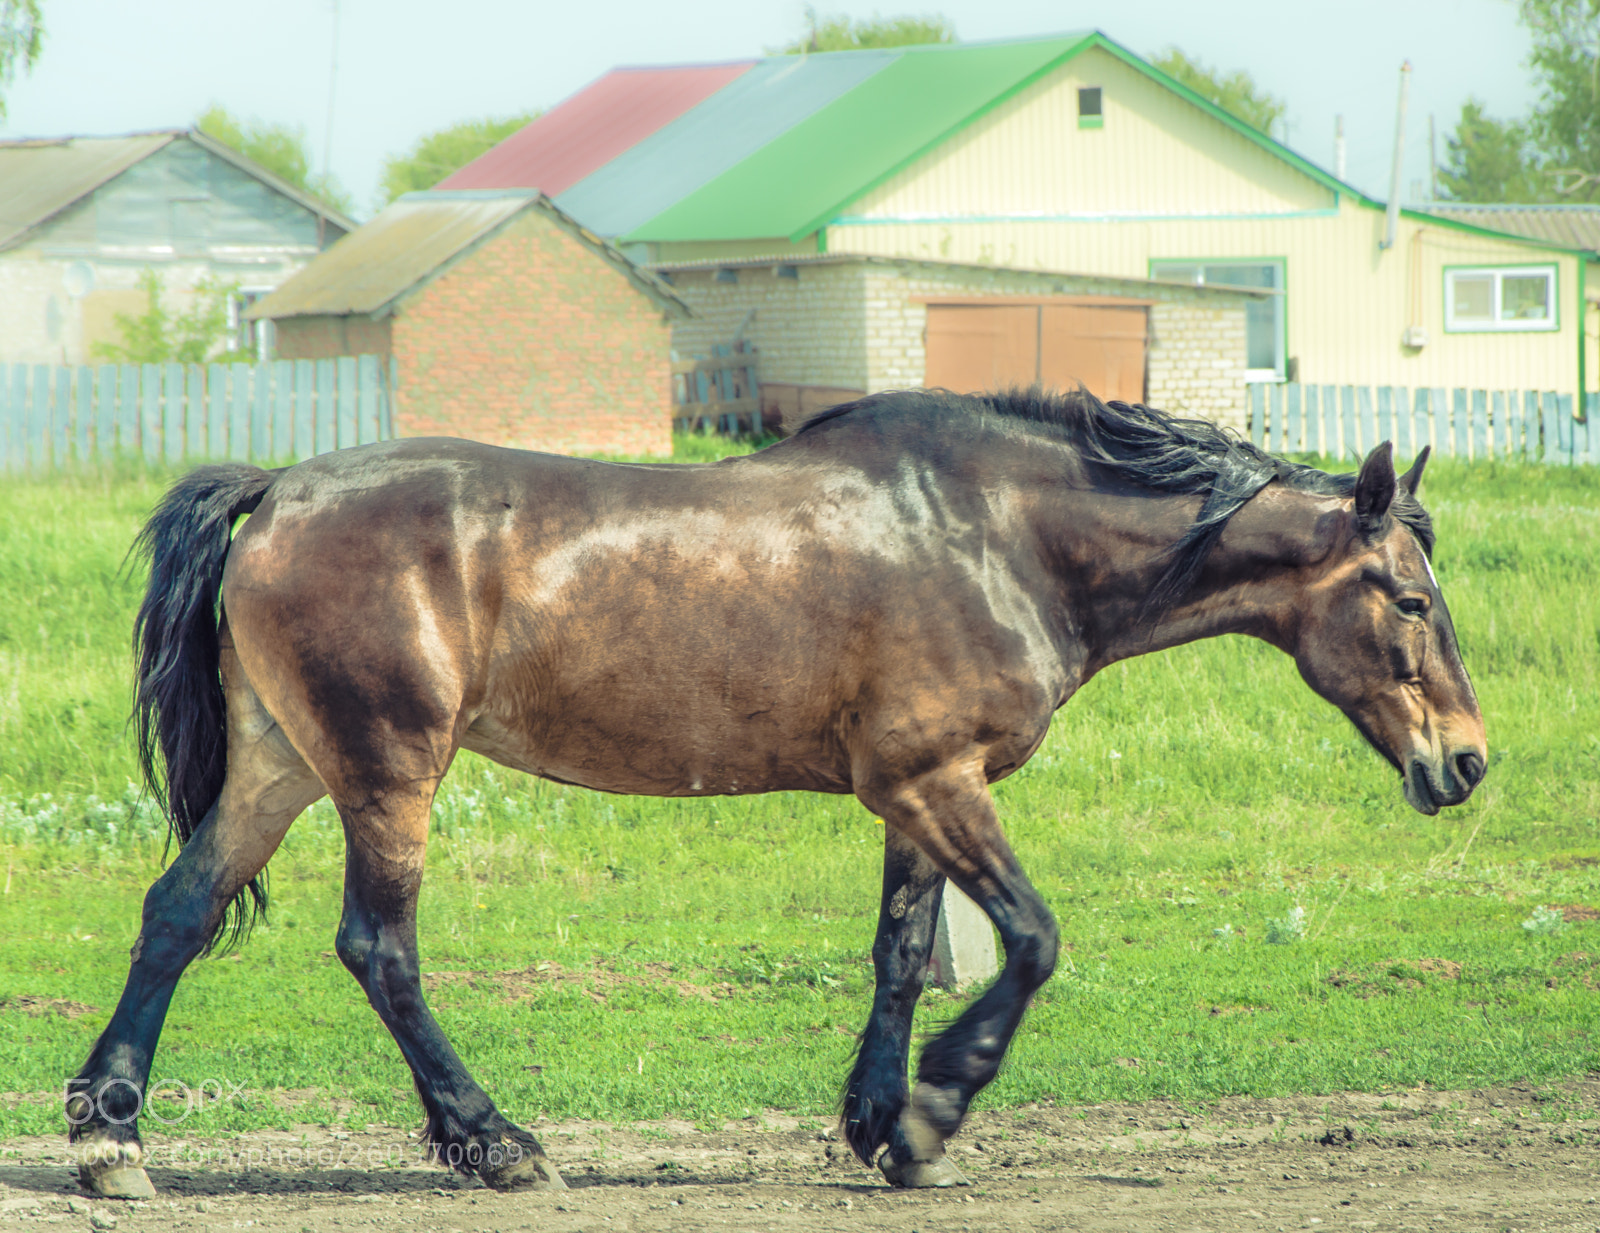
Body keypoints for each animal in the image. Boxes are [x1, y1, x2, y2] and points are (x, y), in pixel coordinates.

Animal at [67, 387, 1486, 1198]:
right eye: (1409, 601)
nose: (1466, 761)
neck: (999, 538)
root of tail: (275, 492)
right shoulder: (939, 784)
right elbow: (1031, 940)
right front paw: (932, 1115)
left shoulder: (914, 793)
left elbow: (902, 955)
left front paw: (877, 1126)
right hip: (385, 773)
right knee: (379, 948)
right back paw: (496, 1143)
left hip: (283, 766)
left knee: (178, 912)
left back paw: (109, 1140)